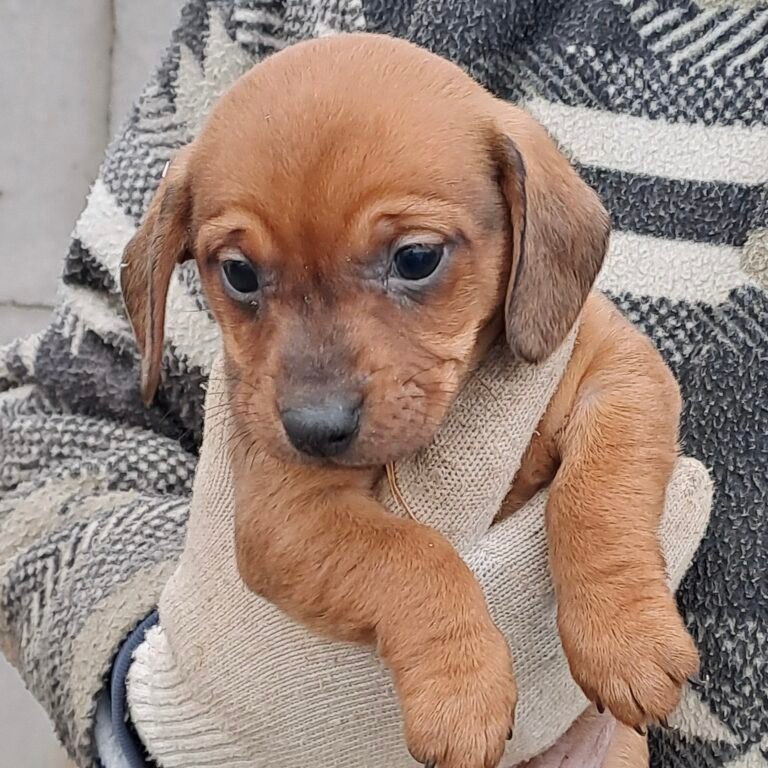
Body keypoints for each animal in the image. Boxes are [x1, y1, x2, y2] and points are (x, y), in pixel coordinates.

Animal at [121, 33, 699, 768]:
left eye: (417, 258)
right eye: (240, 274)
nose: (314, 430)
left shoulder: (620, 373)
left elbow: (594, 494)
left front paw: (624, 637)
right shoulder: (287, 518)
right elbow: (414, 557)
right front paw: (461, 690)